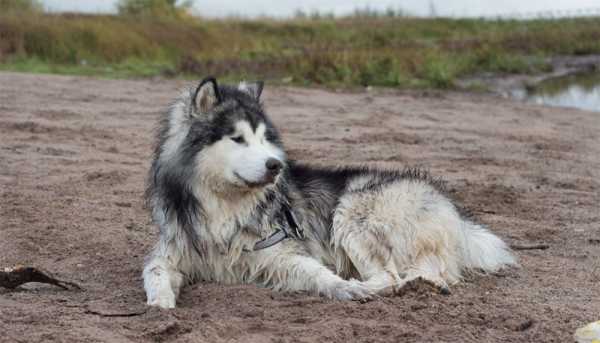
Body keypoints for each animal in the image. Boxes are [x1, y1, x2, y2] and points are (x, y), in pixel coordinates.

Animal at [142, 77, 516, 310]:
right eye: (237, 138)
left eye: (264, 138)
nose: (276, 165)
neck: (225, 204)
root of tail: (450, 208)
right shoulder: (172, 251)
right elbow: (154, 272)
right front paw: (160, 302)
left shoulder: (281, 251)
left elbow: (317, 272)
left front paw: (345, 287)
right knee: (428, 272)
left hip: (352, 211)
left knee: (391, 276)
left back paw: (383, 284)